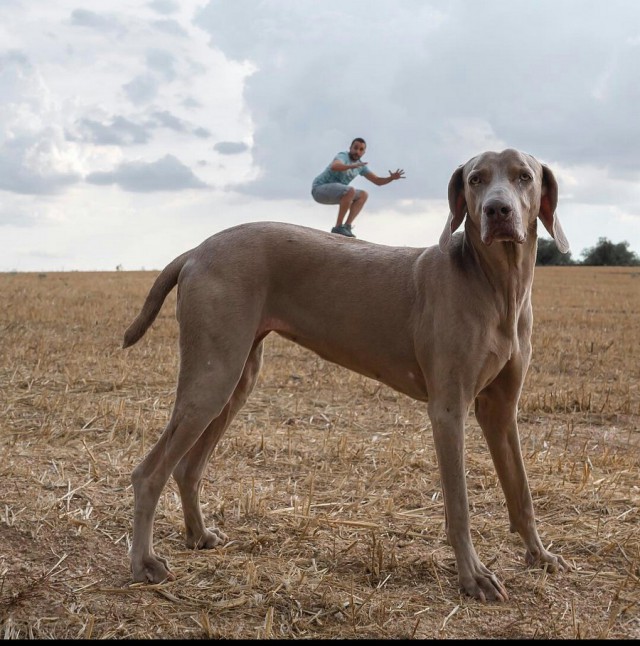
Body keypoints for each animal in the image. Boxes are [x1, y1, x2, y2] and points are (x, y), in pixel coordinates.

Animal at [124, 147, 568, 604]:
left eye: (524, 176)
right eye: (475, 179)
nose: (497, 211)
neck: (497, 286)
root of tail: (196, 250)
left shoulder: (501, 410)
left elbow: (521, 491)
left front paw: (540, 555)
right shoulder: (448, 409)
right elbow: (459, 506)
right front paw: (473, 577)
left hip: (237, 379)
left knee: (186, 468)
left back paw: (198, 535)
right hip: (214, 376)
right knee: (149, 473)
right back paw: (145, 563)